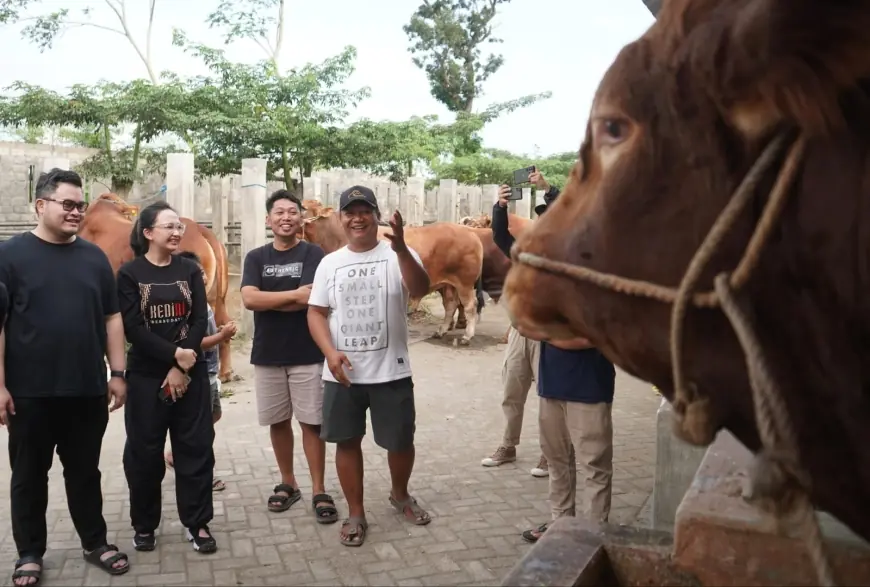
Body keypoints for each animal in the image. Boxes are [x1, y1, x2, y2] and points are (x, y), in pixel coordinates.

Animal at [302, 201, 488, 344]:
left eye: (303, 207)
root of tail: (470, 232)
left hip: (464, 283)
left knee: (470, 306)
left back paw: (466, 337)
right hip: (448, 284)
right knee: (451, 305)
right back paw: (441, 331)